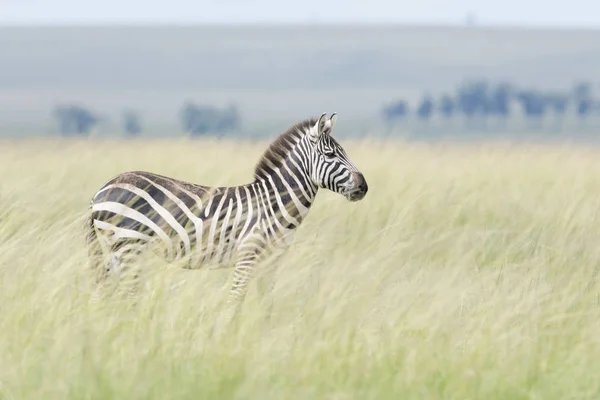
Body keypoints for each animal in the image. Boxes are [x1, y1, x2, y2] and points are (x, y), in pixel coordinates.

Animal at [84, 111, 366, 328]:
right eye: (330, 155)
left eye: (343, 152)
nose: (363, 187)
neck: (273, 203)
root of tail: (102, 189)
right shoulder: (248, 254)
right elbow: (235, 301)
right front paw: (227, 338)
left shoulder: (272, 260)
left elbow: (267, 304)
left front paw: (266, 337)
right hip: (128, 246)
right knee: (126, 296)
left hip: (112, 251)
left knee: (102, 296)